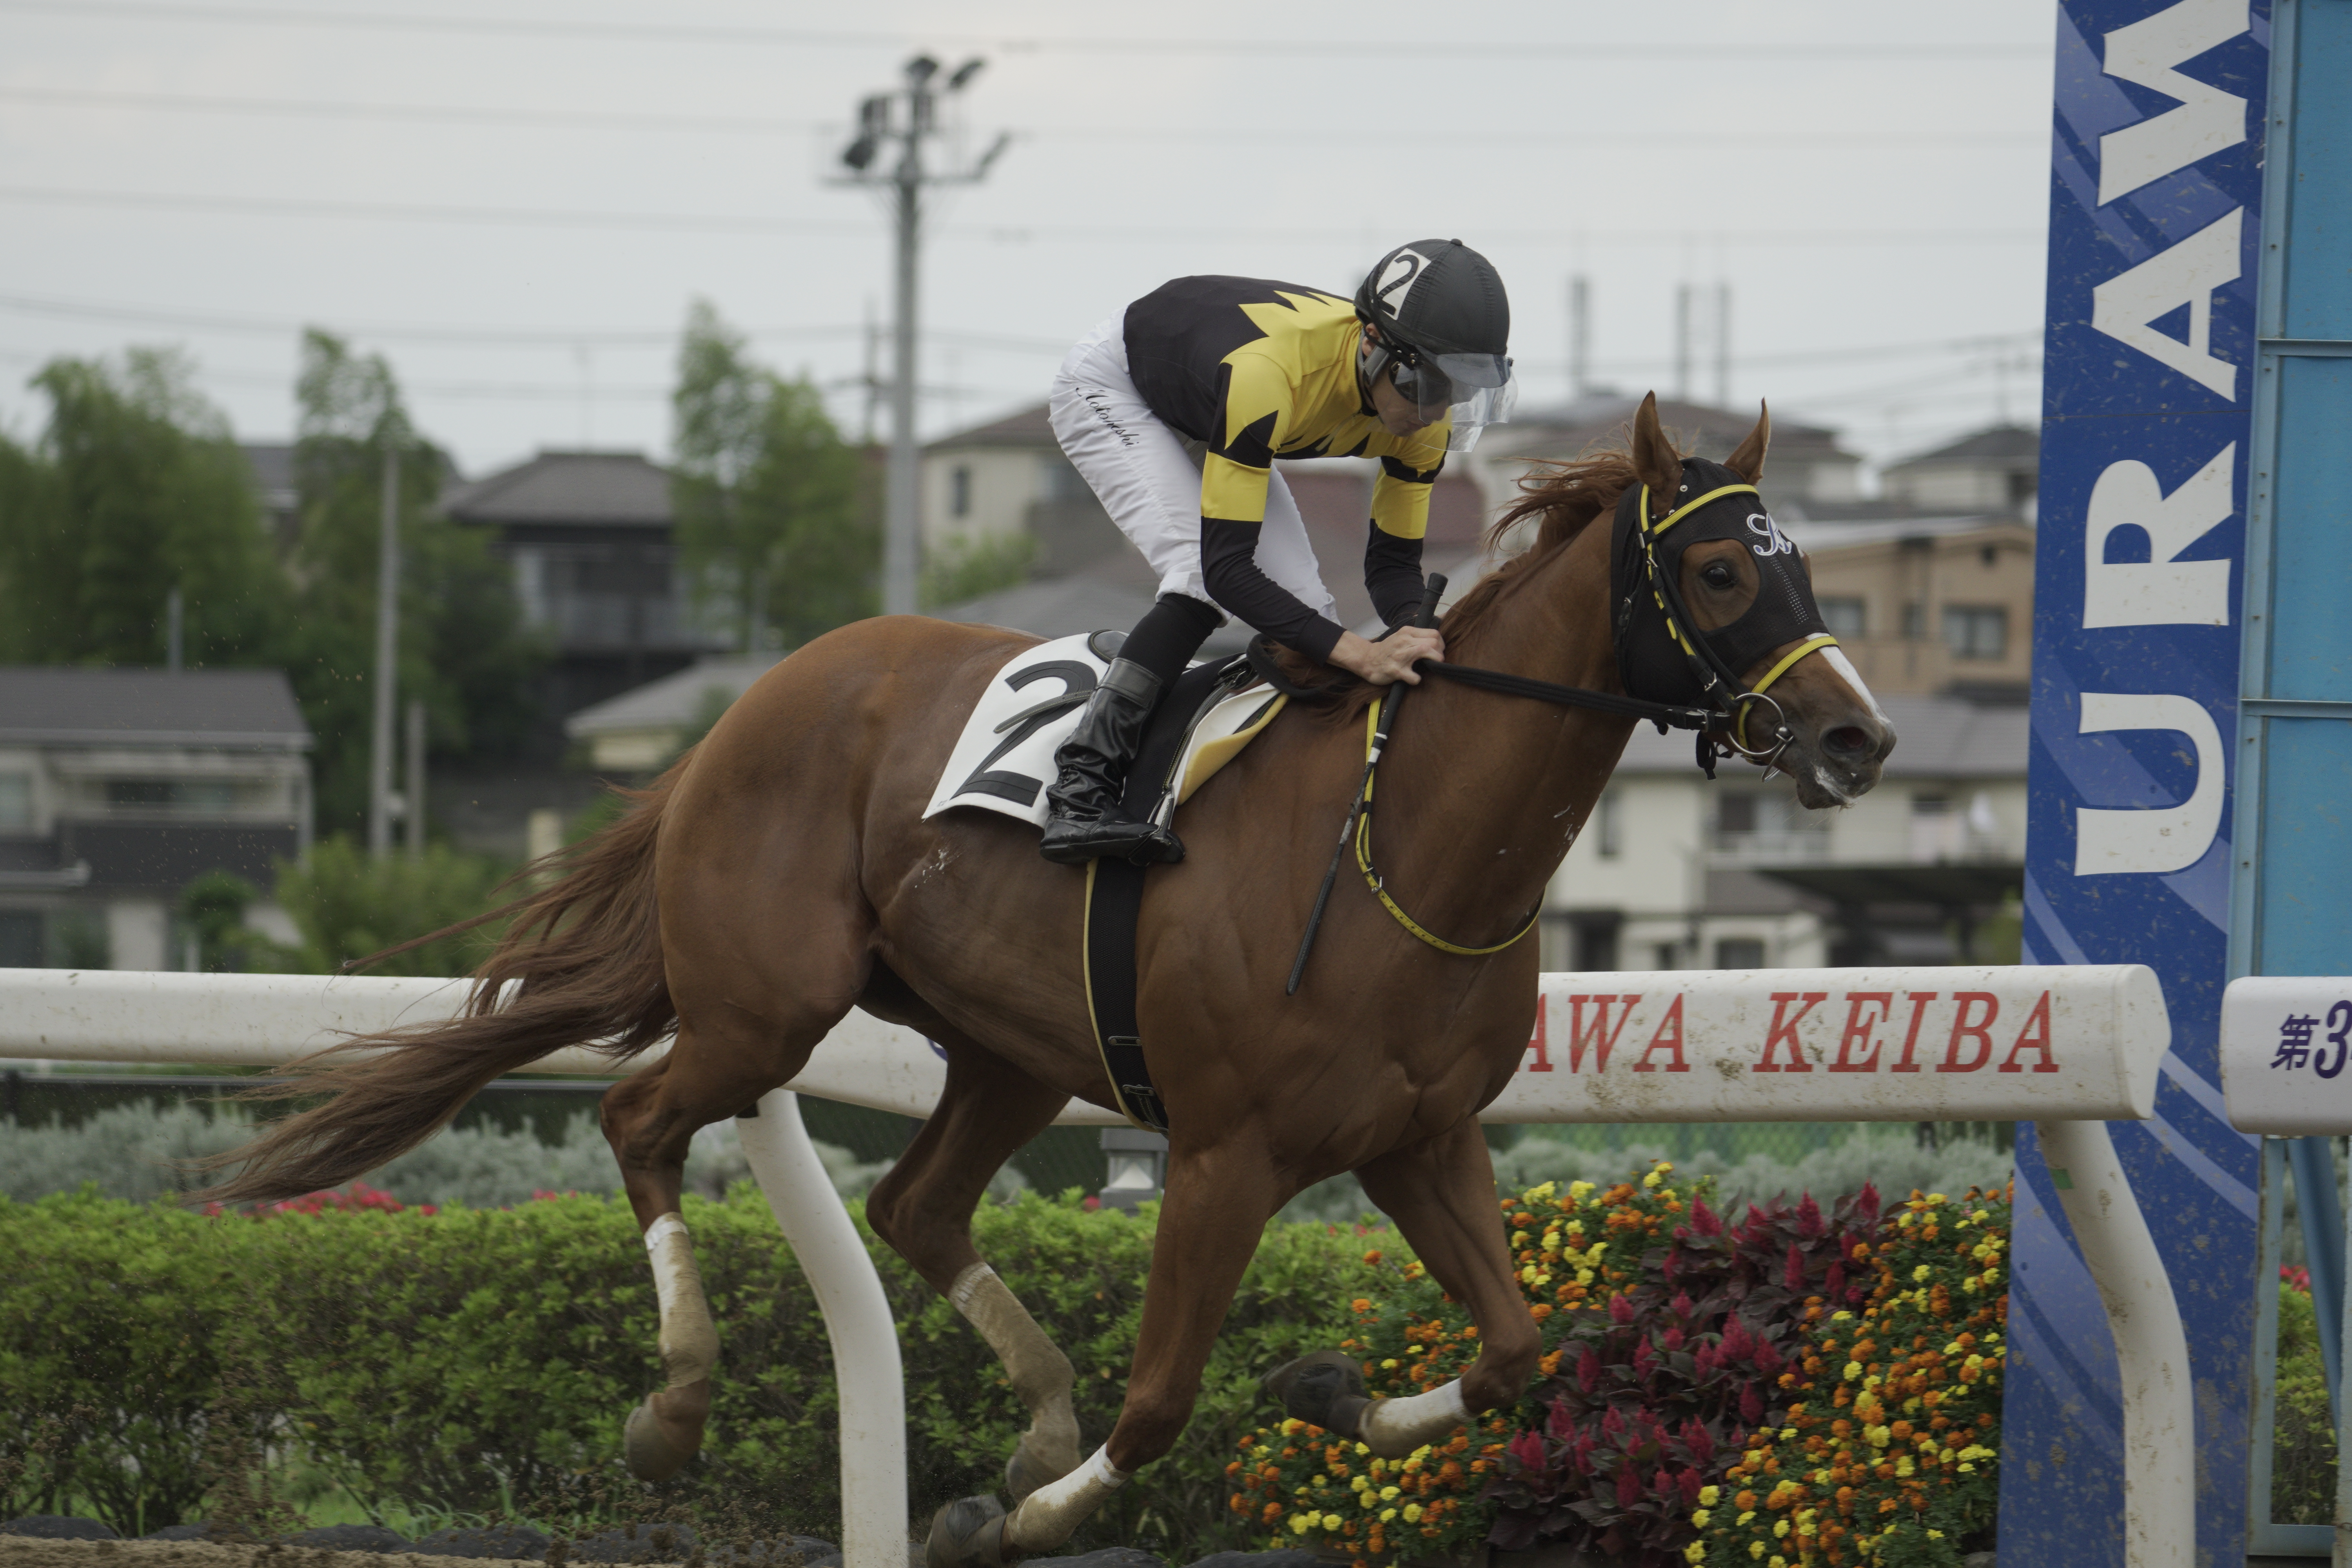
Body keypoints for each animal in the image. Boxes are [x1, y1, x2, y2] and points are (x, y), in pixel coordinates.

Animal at [201, 393, 1893, 1567]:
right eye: (1724, 568)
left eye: (1813, 566)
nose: (1860, 736)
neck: (1401, 845)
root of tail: (748, 705)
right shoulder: (1224, 1154)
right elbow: (1166, 1398)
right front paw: (1016, 1519)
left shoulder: (1421, 1137)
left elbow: (1521, 1354)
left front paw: (1323, 1391)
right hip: (768, 1004)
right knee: (641, 1118)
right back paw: (680, 1404)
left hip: (1008, 1046)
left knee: (912, 1203)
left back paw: (1030, 1417)